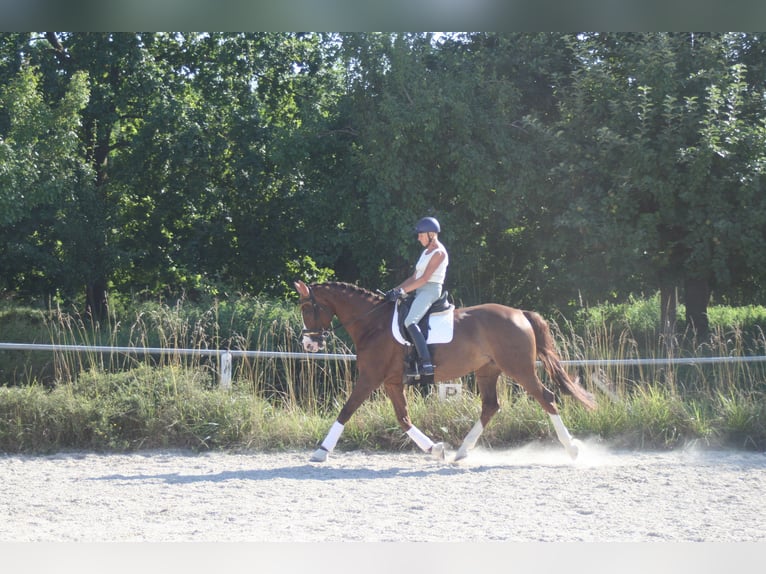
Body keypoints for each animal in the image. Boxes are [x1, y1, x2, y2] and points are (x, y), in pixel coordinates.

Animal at [296, 282, 600, 466]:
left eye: (308, 308)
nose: (309, 345)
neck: (373, 323)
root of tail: (520, 313)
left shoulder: (370, 378)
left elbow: (346, 410)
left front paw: (321, 451)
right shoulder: (392, 382)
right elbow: (403, 419)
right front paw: (435, 449)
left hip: (519, 368)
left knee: (546, 397)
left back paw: (572, 449)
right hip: (488, 371)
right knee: (491, 406)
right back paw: (462, 451)